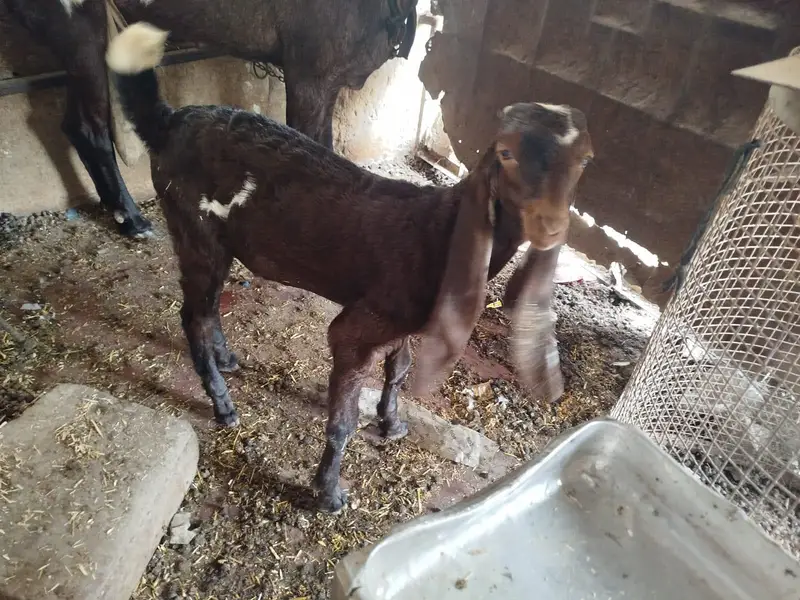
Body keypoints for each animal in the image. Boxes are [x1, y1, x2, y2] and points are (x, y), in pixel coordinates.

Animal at [106, 23, 594, 512]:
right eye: (506, 154)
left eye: (585, 159)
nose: (552, 226)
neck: (439, 232)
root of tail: (170, 122)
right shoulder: (356, 330)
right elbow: (342, 418)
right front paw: (329, 493)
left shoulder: (401, 321)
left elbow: (399, 371)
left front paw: (392, 423)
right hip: (195, 229)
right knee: (193, 314)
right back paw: (223, 405)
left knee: (207, 310)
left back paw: (226, 360)